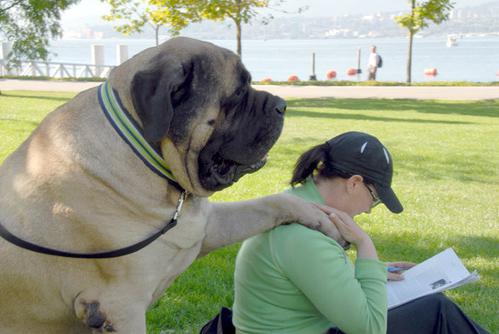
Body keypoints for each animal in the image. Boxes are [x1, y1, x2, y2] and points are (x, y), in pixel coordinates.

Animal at [0, 37, 340, 332]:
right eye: (238, 93)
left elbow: (269, 203)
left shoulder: (203, 229)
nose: (282, 105)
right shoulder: (120, 307)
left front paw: (320, 216)